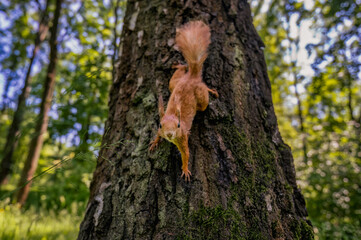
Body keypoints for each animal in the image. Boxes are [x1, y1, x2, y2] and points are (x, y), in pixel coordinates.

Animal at [148, 21, 217, 182]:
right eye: (160, 125)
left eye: (178, 125)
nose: (169, 135)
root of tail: (191, 78)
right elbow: (157, 135)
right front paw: (155, 142)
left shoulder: (183, 138)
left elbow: (186, 154)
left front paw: (185, 170)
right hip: (174, 84)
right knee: (178, 75)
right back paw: (181, 66)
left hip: (201, 99)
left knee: (204, 97)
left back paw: (210, 90)